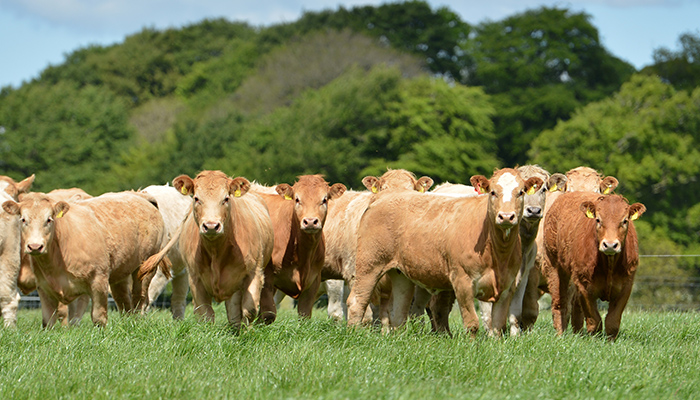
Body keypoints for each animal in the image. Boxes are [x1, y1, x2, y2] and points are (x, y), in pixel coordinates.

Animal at [4, 191, 167, 327]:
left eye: (49, 219)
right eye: (23, 219)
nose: (35, 246)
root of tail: (140, 196)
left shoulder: (99, 281)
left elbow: (99, 317)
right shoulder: (44, 287)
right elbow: (48, 321)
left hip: (145, 268)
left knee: (140, 299)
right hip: (121, 273)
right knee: (124, 302)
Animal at [257, 175, 346, 324]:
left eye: (324, 199)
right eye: (297, 199)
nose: (310, 221)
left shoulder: (314, 280)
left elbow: (304, 315)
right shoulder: (266, 276)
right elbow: (268, 314)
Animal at [346, 168, 542, 336]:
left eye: (521, 192)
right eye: (493, 192)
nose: (506, 216)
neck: (496, 253)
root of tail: (384, 196)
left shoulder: (507, 286)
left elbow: (498, 326)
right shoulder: (462, 281)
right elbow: (472, 323)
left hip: (401, 274)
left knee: (398, 312)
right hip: (369, 264)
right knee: (357, 301)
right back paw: (354, 334)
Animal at [542, 192, 645, 340]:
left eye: (625, 221)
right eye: (598, 220)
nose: (610, 245)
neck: (609, 265)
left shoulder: (626, 285)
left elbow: (612, 322)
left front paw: (610, 341)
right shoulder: (584, 286)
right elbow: (594, 321)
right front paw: (594, 340)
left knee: (576, 308)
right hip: (553, 266)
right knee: (559, 303)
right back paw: (560, 335)